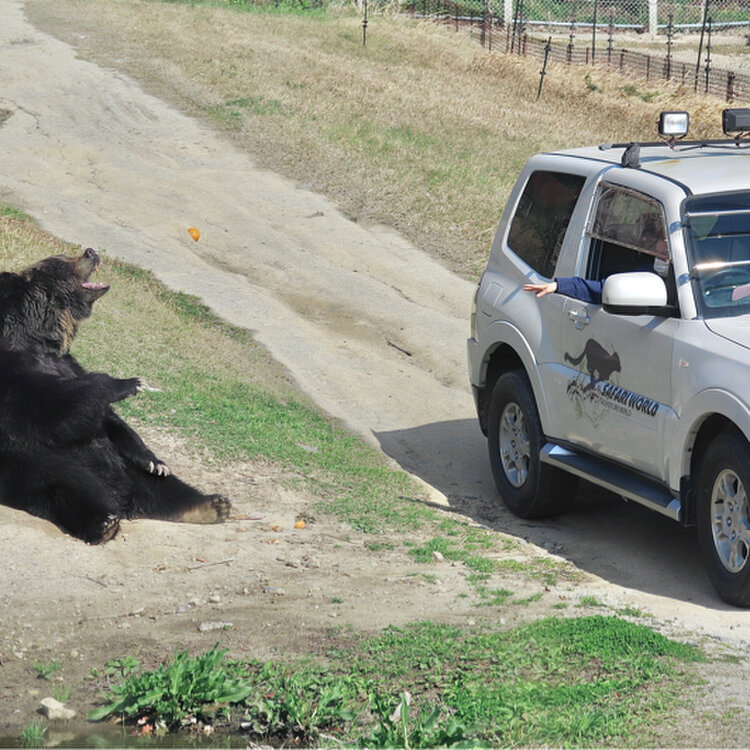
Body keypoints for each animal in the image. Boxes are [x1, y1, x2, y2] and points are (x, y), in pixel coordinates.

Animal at [0, 250, 232, 544]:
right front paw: (130, 383)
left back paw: (211, 504)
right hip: (39, 465)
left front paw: (154, 460)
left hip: (127, 467)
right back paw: (104, 522)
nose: (90, 252)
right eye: (62, 260)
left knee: (165, 487)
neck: (40, 340)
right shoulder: (16, 380)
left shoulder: (68, 364)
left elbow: (111, 421)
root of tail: (127, 498)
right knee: (69, 484)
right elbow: (54, 407)